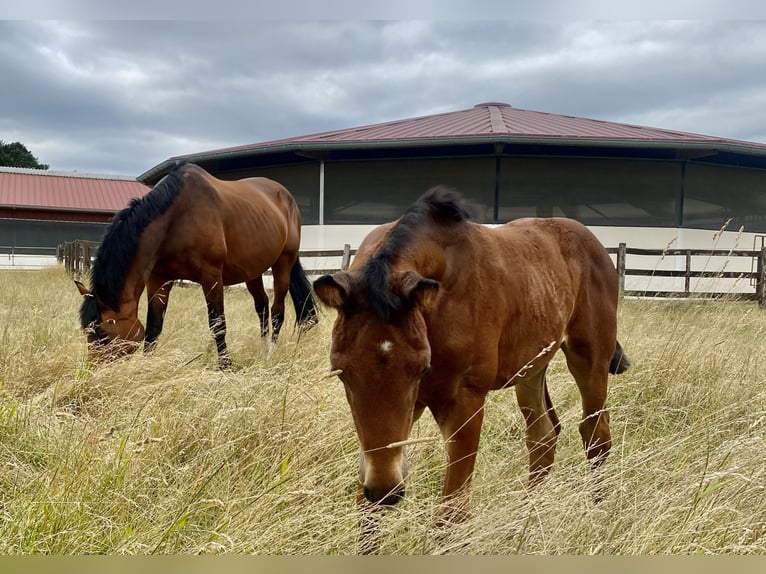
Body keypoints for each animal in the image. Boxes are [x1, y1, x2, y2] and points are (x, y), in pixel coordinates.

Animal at [74, 162, 318, 368]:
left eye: (104, 335)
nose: (92, 374)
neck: (176, 219)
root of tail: (286, 197)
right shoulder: (158, 279)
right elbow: (153, 326)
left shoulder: (211, 277)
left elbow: (217, 324)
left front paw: (225, 366)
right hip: (252, 271)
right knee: (262, 307)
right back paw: (262, 349)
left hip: (283, 263)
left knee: (277, 311)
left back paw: (270, 355)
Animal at [312, 190, 632, 540]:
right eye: (341, 373)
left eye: (420, 369)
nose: (386, 490)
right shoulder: (406, 414)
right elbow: (368, 514)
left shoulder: (465, 400)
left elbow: (451, 516)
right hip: (531, 367)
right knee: (543, 436)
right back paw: (523, 525)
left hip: (589, 357)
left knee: (596, 434)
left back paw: (598, 516)